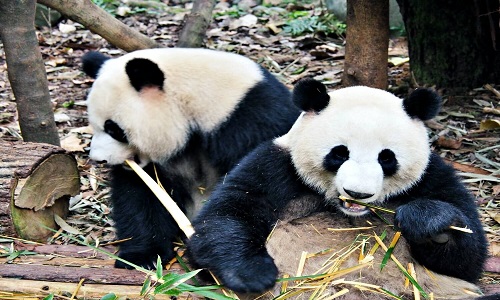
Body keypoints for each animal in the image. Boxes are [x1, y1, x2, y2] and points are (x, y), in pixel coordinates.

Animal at [82, 48, 300, 268]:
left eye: (113, 129)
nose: (98, 159)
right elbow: (141, 196)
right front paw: (144, 257)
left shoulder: (249, 122)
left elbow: (247, 193)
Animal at [188, 78, 488, 298]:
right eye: (339, 153)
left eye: (386, 158)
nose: (358, 194)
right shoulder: (274, 165)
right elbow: (227, 215)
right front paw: (252, 273)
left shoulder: (431, 177)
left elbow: (467, 258)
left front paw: (427, 222)